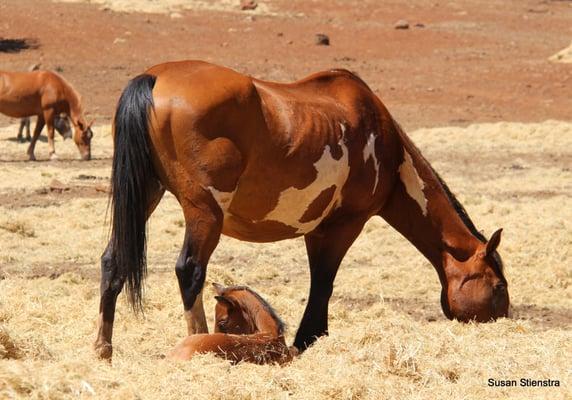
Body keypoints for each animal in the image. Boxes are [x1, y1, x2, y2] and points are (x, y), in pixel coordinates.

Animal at [94, 60, 510, 360]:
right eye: (499, 285)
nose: (505, 319)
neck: (387, 149)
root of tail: (154, 78)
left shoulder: (318, 229)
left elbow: (319, 280)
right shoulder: (343, 225)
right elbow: (323, 282)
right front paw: (310, 336)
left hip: (148, 194)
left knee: (113, 260)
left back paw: (103, 350)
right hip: (204, 213)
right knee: (190, 271)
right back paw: (198, 340)